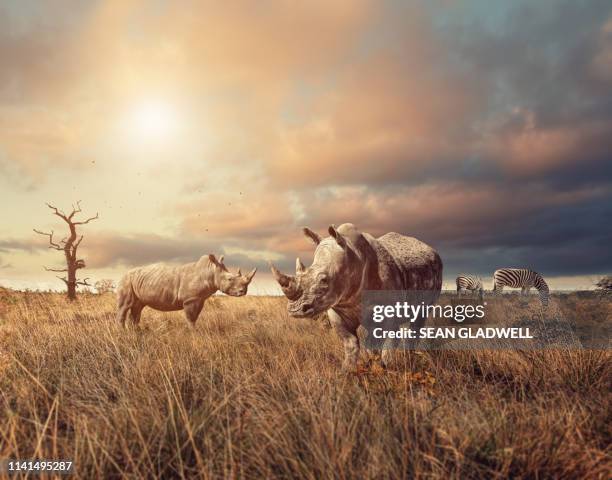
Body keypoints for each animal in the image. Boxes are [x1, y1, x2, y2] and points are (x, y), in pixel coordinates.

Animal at [116, 255, 256, 326]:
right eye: (230, 279)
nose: (243, 291)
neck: (209, 272)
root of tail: (123, 274)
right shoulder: (190, 299)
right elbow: (190, 319)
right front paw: (192, 335)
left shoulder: (199, 299)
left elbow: (195, 318)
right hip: (126, 281)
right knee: (125, 306)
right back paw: (122, 332)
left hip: (138, 282)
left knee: (138, 307)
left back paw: (136, 333)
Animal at [270, 223, 442, 370]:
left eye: (324, 280)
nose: (295, 310)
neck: (354, 259)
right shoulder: (338, 308)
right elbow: (351, 344)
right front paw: (347, 373)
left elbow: (378, 341)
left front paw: (385, 370)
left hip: (435, 269)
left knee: (419, 316)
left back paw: (408, 359)